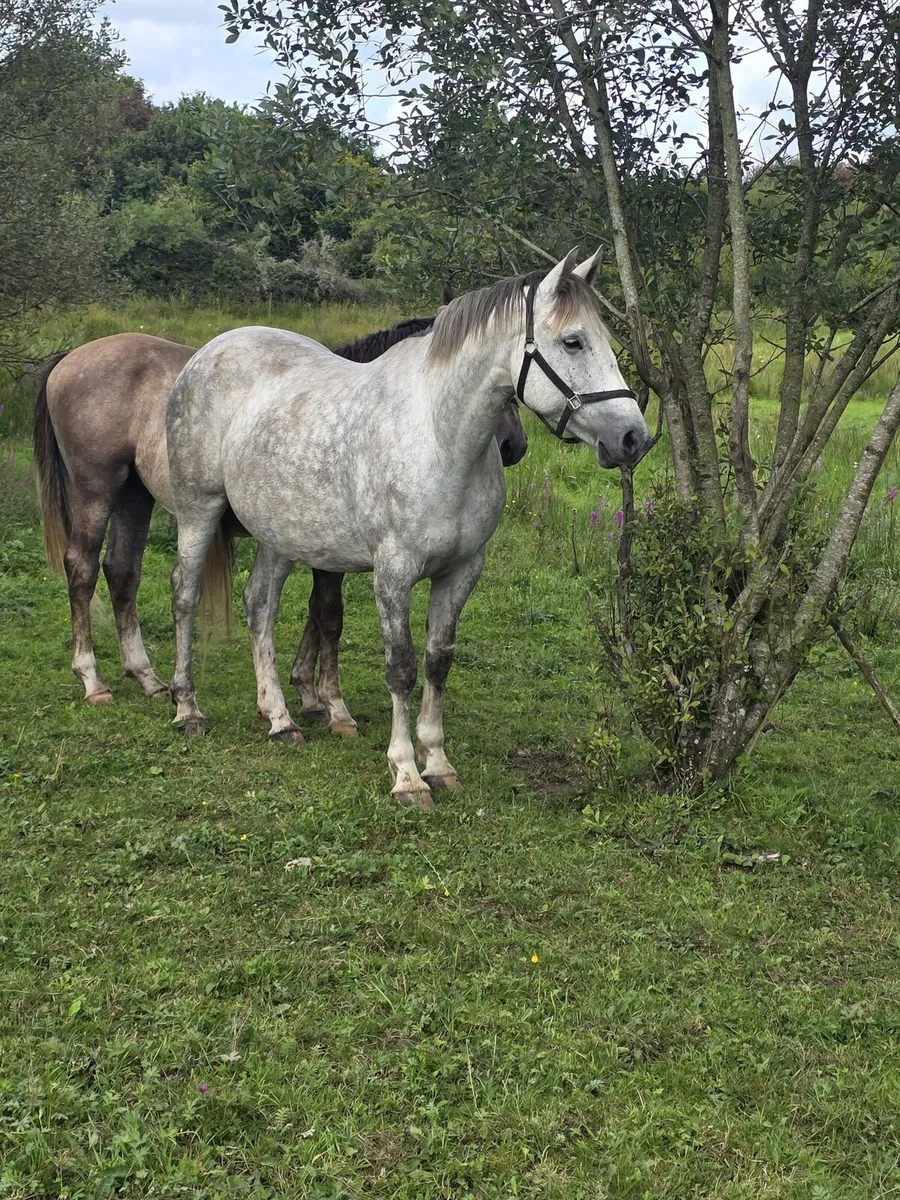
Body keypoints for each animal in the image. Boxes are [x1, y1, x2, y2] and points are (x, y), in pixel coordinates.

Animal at [33, 315, 527, 727]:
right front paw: (329, 703)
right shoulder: (332, 557)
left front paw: (306, 693)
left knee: (122, 571)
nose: (512, 447)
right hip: (98, 491)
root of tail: (70, 358)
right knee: (83, 569)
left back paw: (148, 678)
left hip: (134, 498)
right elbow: (329, 615)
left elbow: (312, 614)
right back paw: (95, 681)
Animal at [165, 249, 651, 808]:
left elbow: (438, 663)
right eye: (573, 341)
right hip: (198, 510)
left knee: (260, 605)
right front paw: (405, 775)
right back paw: (187, 708)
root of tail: (206, 353)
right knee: (185, 594)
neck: (439, 437)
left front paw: (437, 763)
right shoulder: (392, 574)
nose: (634, 436)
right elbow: (400, 667)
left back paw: (280, 718)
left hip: (280, 534)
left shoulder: (462, 572)